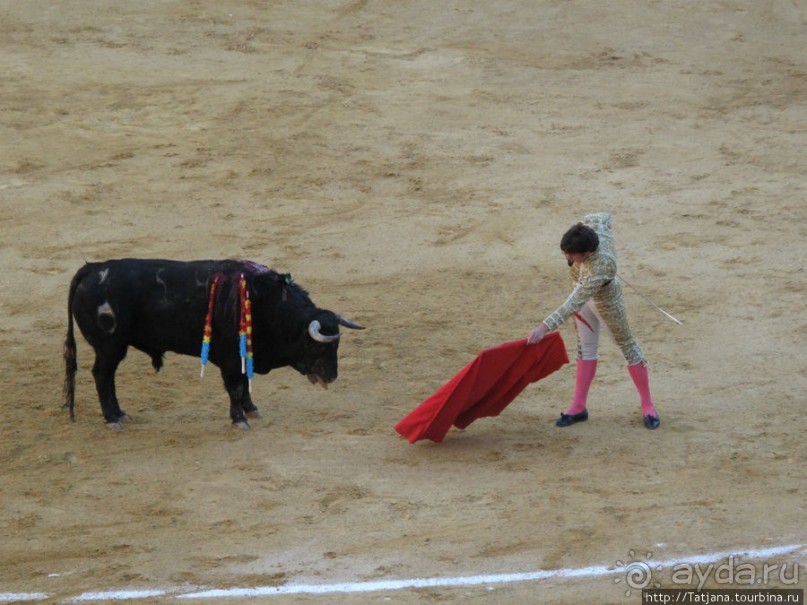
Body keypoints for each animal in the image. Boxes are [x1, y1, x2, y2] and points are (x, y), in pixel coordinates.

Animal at [63, 260, 362, 430]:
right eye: (318, 347)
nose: (331, 377)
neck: (268, 304)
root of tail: (90, 269)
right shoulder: (230, 358)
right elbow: (236, 386)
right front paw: (239, 419)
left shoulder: (245, 355)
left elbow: (245, 384)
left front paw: (251, 410)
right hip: (109, 346)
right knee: (102, 376)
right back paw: (113, 418)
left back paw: (119, 414)